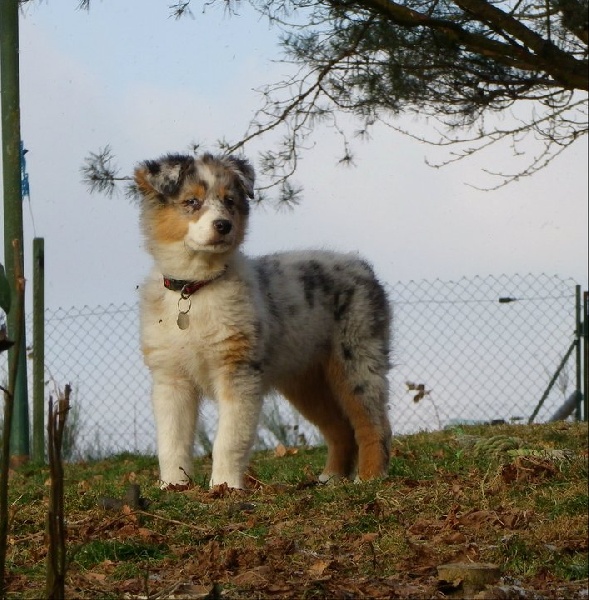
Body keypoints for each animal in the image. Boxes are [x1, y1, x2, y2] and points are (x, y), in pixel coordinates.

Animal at [134, 154, 390, 488]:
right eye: (191, 201)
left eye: (229, 201)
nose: (224, 225)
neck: (195, 288)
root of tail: (361, 265)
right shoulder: (170, 379)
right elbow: (171, 440)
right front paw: (173, 486)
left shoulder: (238, 372)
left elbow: (228, 439)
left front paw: (225, 487)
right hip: (305, 380)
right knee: (339, 428)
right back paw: (331, 478)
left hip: (356, 358)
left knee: (373, 422)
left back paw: (370, 478)